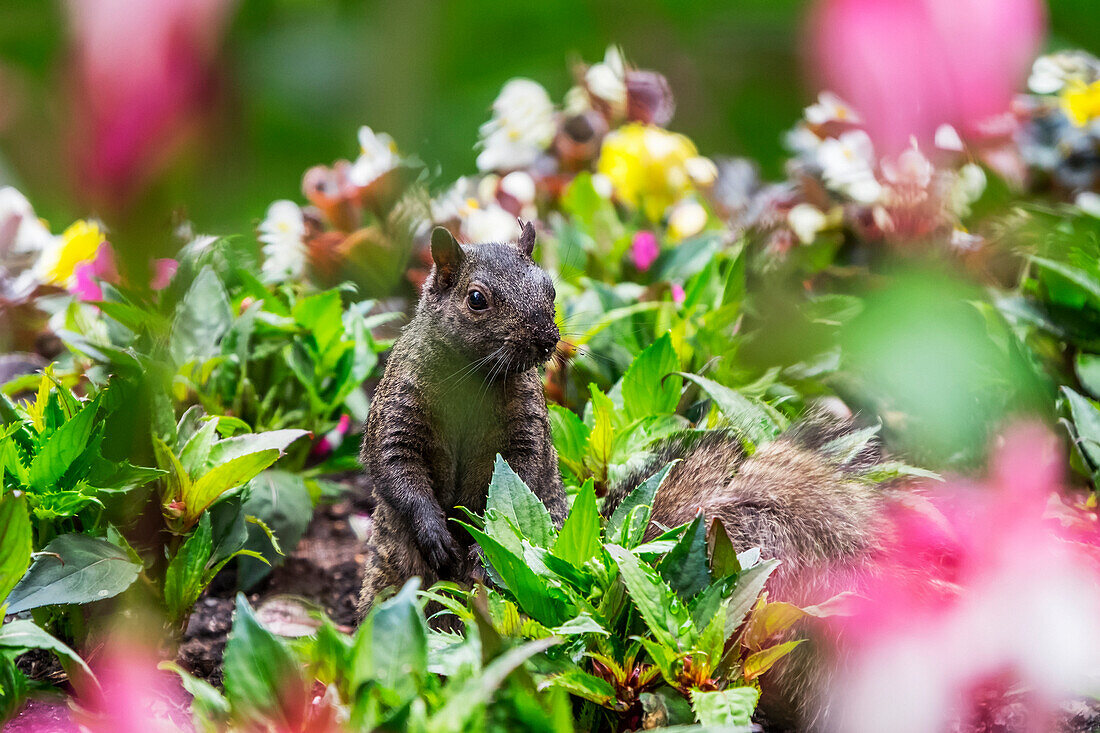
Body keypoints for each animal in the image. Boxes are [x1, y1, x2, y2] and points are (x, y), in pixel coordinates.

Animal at [358, 221, 567, 611]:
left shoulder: (527, 426)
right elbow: (394, 463)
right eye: (476, 299)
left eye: (551, 289)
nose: (546, 339)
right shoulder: (398, 408)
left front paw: (486, 549)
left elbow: (522, 477)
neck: (473, 375)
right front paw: (434, 532)